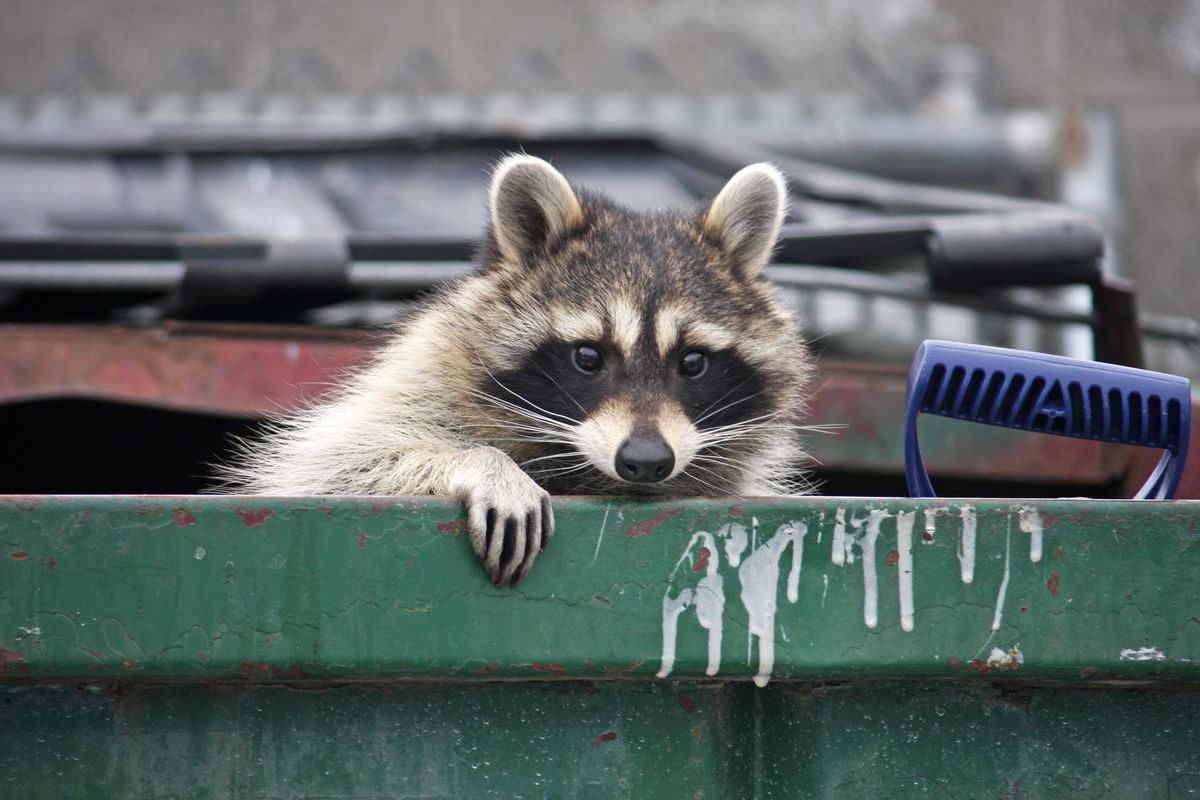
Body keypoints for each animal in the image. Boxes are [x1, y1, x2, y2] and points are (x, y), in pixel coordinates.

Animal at [220, 151, 811, 587]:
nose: (645, 460)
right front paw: (482, 463)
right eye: (588, 356)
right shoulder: (414, 383)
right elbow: (335, 465)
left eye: (692, 362)